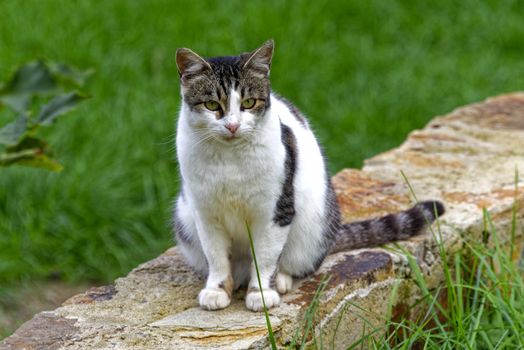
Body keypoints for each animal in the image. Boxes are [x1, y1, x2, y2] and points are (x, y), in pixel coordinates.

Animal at [174, 40, 444, 312]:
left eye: (249, 103)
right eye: (212, 105)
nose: (232, 126)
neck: (230, 160)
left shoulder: (276, 209)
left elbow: (266, 256)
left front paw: (262, 292)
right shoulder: (205, 212)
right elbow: (216, 256)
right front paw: (216, 290)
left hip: (312, 228)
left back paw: (281, 280)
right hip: (184, 219)